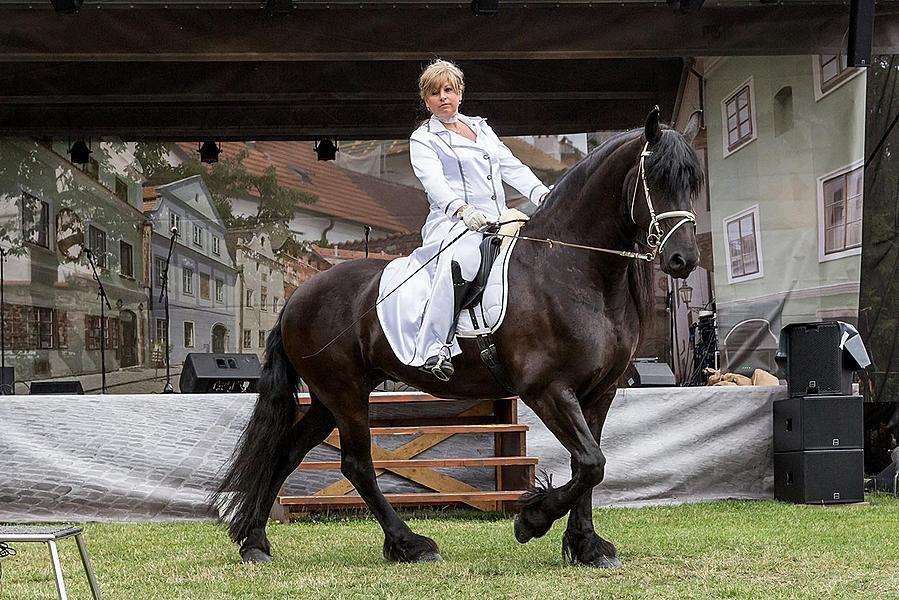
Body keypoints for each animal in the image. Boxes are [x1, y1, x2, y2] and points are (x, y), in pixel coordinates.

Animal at [216, 108, 704, 568]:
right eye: (656, 178)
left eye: (692, 183)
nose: (684, 260)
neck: (573, 270)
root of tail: (298, 295)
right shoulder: (548, 390)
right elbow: (590, 463)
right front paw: (531, 520)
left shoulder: (599, 391)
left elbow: (590, 464)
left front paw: (587, 545)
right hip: (345, 393)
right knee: (356, 464)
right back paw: (409, 544)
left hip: (328, 397)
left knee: (288, 451)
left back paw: (255, 542)